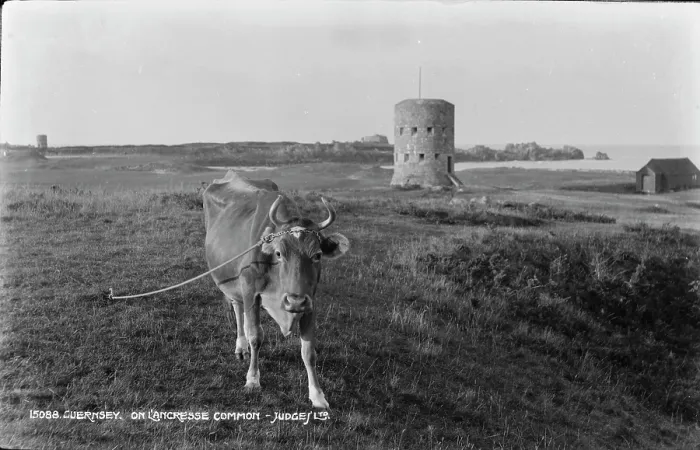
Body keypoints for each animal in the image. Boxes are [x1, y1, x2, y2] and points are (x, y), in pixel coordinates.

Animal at [203, 171, 349, 409]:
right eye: (279, 253)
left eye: (318, 255)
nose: (294, 301)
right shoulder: (250, 292)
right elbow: (255, 336)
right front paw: (253, 380)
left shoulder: (310, 301)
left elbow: (309, 351)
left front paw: (317, 395)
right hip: (232, 281)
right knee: (238, 309)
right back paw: (240, 346)